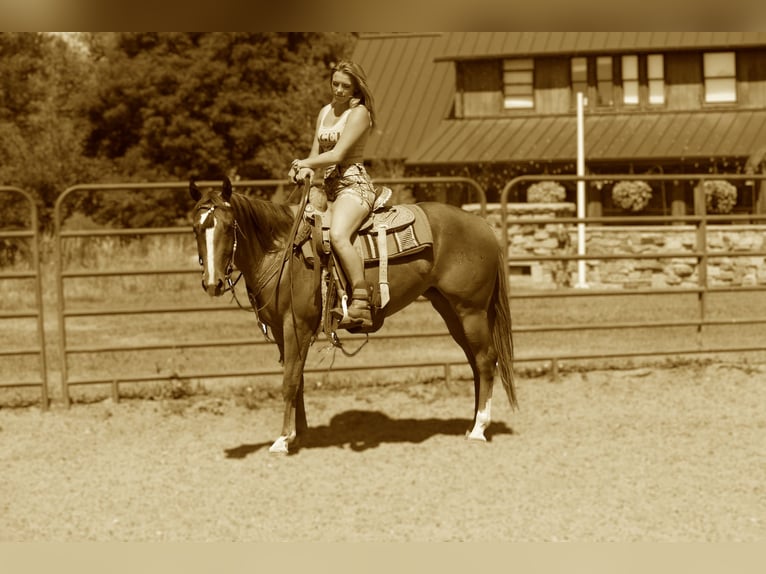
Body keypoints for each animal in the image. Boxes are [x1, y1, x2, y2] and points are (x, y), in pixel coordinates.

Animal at [189, 176, 516, 454]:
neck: (283, 251)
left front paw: (282, 440)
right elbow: (299, 380)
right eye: (196, 228)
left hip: (471, 309)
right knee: (475, 362)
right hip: (450, 310)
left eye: (228, 226)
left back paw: (479, 428)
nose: (212, 283)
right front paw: (300, 433)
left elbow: (289, 381)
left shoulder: (296, 326)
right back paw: (472, 423)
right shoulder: (284, 331)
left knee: (485, 360)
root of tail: (482, 224)